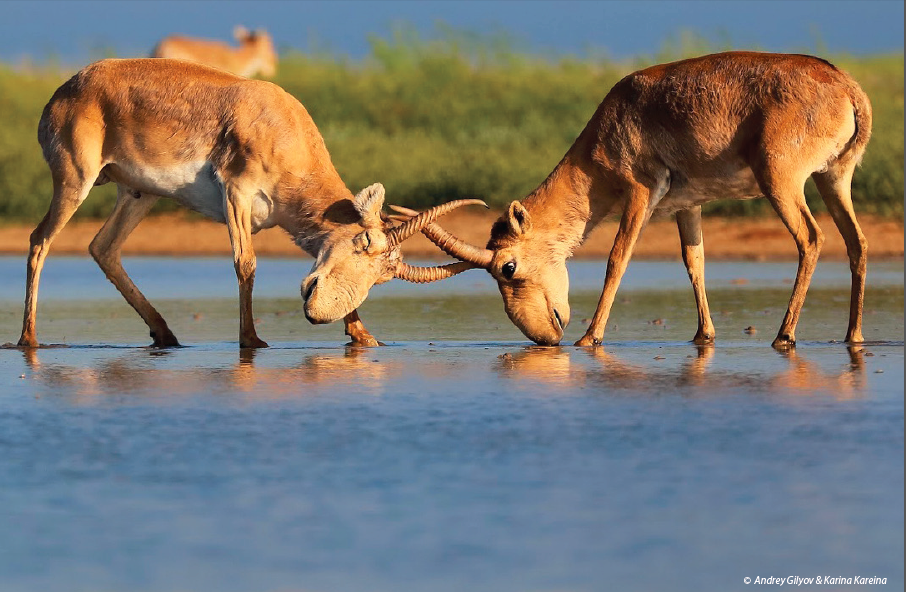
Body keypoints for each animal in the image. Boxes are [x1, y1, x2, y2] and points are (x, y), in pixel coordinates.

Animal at [17, 57, 480, 350]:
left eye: (382, 277)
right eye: (363, 244)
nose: (315, 315)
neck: (283, 126)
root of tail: (66, 89)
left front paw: (365, 337)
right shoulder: (236, 194)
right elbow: (247, 263)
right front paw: (252, 341)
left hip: (139, 194)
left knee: (103, 247)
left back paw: (166, 336)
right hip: (75, 180)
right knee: (40, 239)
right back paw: (28, 339)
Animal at [398, 53, 868, 350]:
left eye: (507, 267)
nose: (545, 338)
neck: (619, 113)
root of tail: (848, 89)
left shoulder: (640, 193)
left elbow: (617, 258)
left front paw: (590, 337)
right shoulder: (688, 205)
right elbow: (694, 261)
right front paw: (704, 336)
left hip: (782, 183)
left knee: (812, 238)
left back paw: (784, 335)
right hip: (833, 178)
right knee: (856, 242)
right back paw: (853, 336)